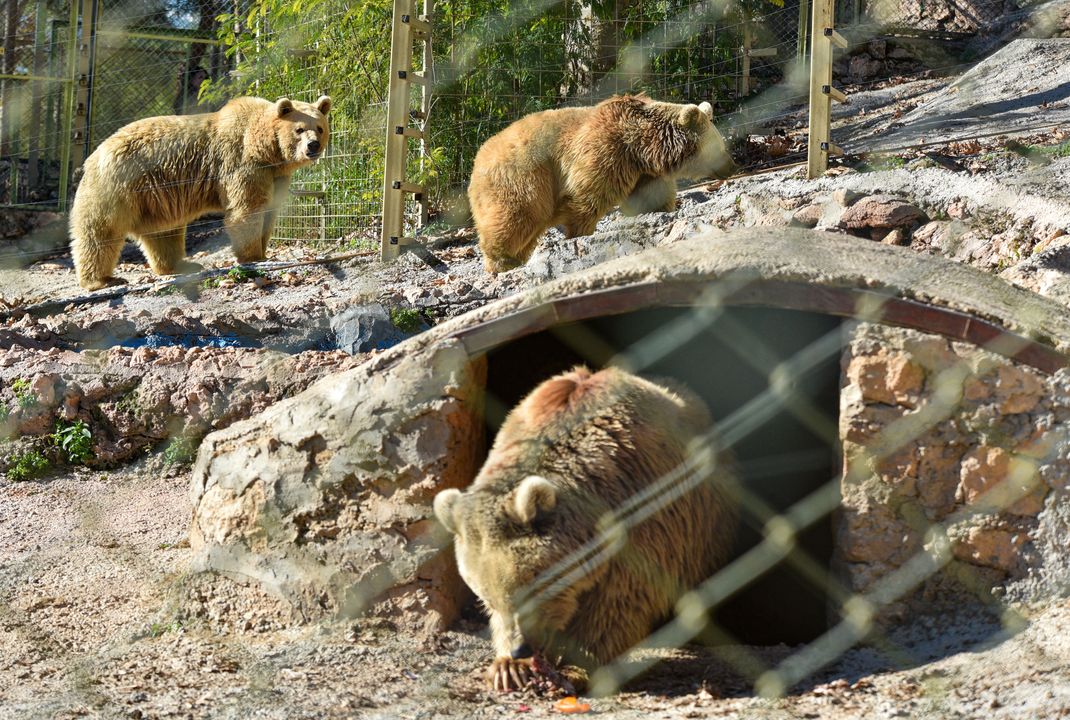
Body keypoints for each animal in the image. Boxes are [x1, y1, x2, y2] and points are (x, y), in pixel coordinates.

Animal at [71, 94, 329, 290]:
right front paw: (253, 256)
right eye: (299, 129)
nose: (313, 145)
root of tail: (94, 154)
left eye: (320, 128)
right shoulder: (241, 162)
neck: (265, 149)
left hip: (155, 197)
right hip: (119, 184)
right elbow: (246, 209)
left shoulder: (276, 176)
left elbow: (268, 211)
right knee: (101, 230)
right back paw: (101, 280)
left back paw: (180, 265)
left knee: (164, 233)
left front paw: (263, 252)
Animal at [430, 368, 740, 688]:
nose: (521, 648)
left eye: (530, 591)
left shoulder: (643, 516)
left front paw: (576, 668)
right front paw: (509, 669)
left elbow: (617, 604)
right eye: (487, 598)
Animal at [468, 94, 736, 273]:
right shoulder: (606, 151)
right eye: (720, 146)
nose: (733, 166)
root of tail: (477, 160)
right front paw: (580, 234)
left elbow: (650, 197)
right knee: (516, 216)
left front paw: (661, 211)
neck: (644, 145)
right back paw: (503, 261)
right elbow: (587, 196)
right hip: (523, 178)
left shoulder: (642, 171)